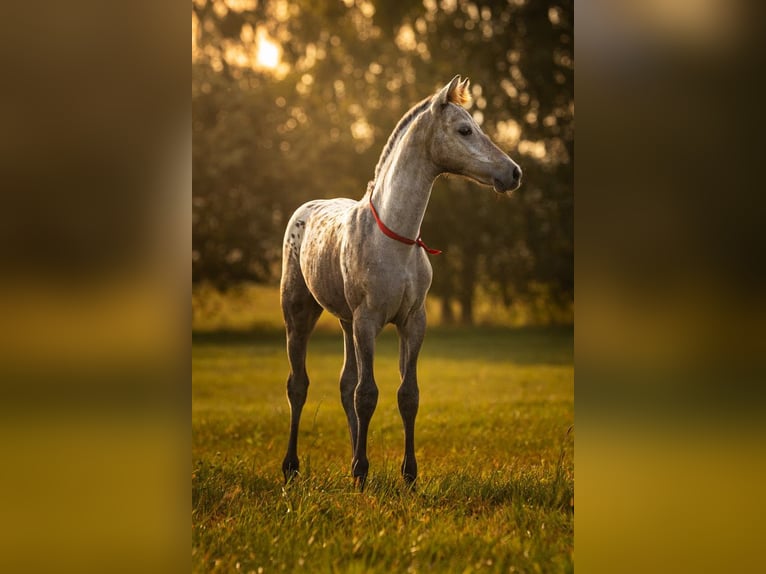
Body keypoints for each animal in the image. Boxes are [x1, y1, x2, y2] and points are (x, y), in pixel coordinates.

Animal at [280, 75, 521, 490]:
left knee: (344, 385)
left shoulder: (413, 321)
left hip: (345, 322)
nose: (514, 173)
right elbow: (367, 394)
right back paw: (293, 467)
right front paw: (363, 473)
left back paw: (350, 458)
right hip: (300, 315)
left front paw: (407, 475)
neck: (397, 238)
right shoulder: (368, 322)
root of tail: (305, 209)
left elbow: (407, 395)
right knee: (299, 385)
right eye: (464, 129)